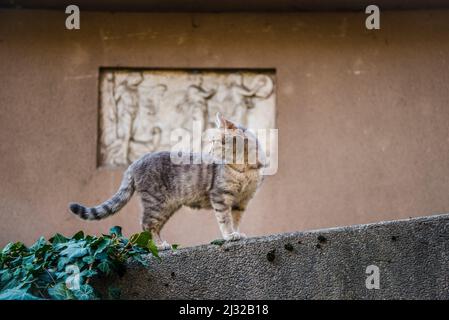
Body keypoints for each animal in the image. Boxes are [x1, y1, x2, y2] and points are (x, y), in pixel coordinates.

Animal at [68, 112, 264, 250]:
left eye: (217, 141)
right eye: (212, 142)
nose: (209, 152)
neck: (244, 167)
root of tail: (136, 161)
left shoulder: (242, 200)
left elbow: (235, 219)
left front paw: (237, 233)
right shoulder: (220, 195)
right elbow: (225, 219)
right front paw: (230, 235)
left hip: (167, 207)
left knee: (153, 227)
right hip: (156, 203)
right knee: (147, 225)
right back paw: (159, 246)